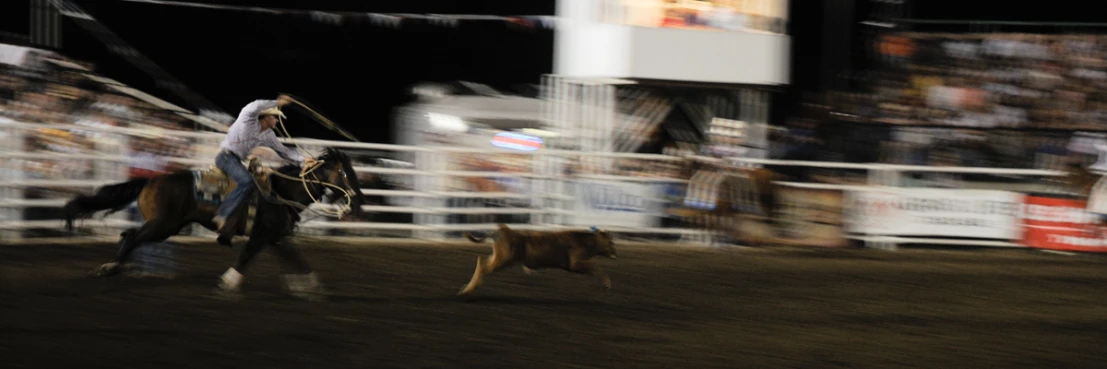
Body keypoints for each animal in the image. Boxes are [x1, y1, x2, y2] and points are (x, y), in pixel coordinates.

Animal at [62, 146, 365, 299]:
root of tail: (150, 179)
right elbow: (246, 256)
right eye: (345, 174)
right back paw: (110, 268)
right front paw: (228, 282)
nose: (360, 202)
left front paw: (311, 285)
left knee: (129, 236)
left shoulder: (277, 236)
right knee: (131, 237)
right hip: (163, 225)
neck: (281, 191)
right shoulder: (262, 234)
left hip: (165, 227)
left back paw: (113, 267)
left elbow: (296, 258)